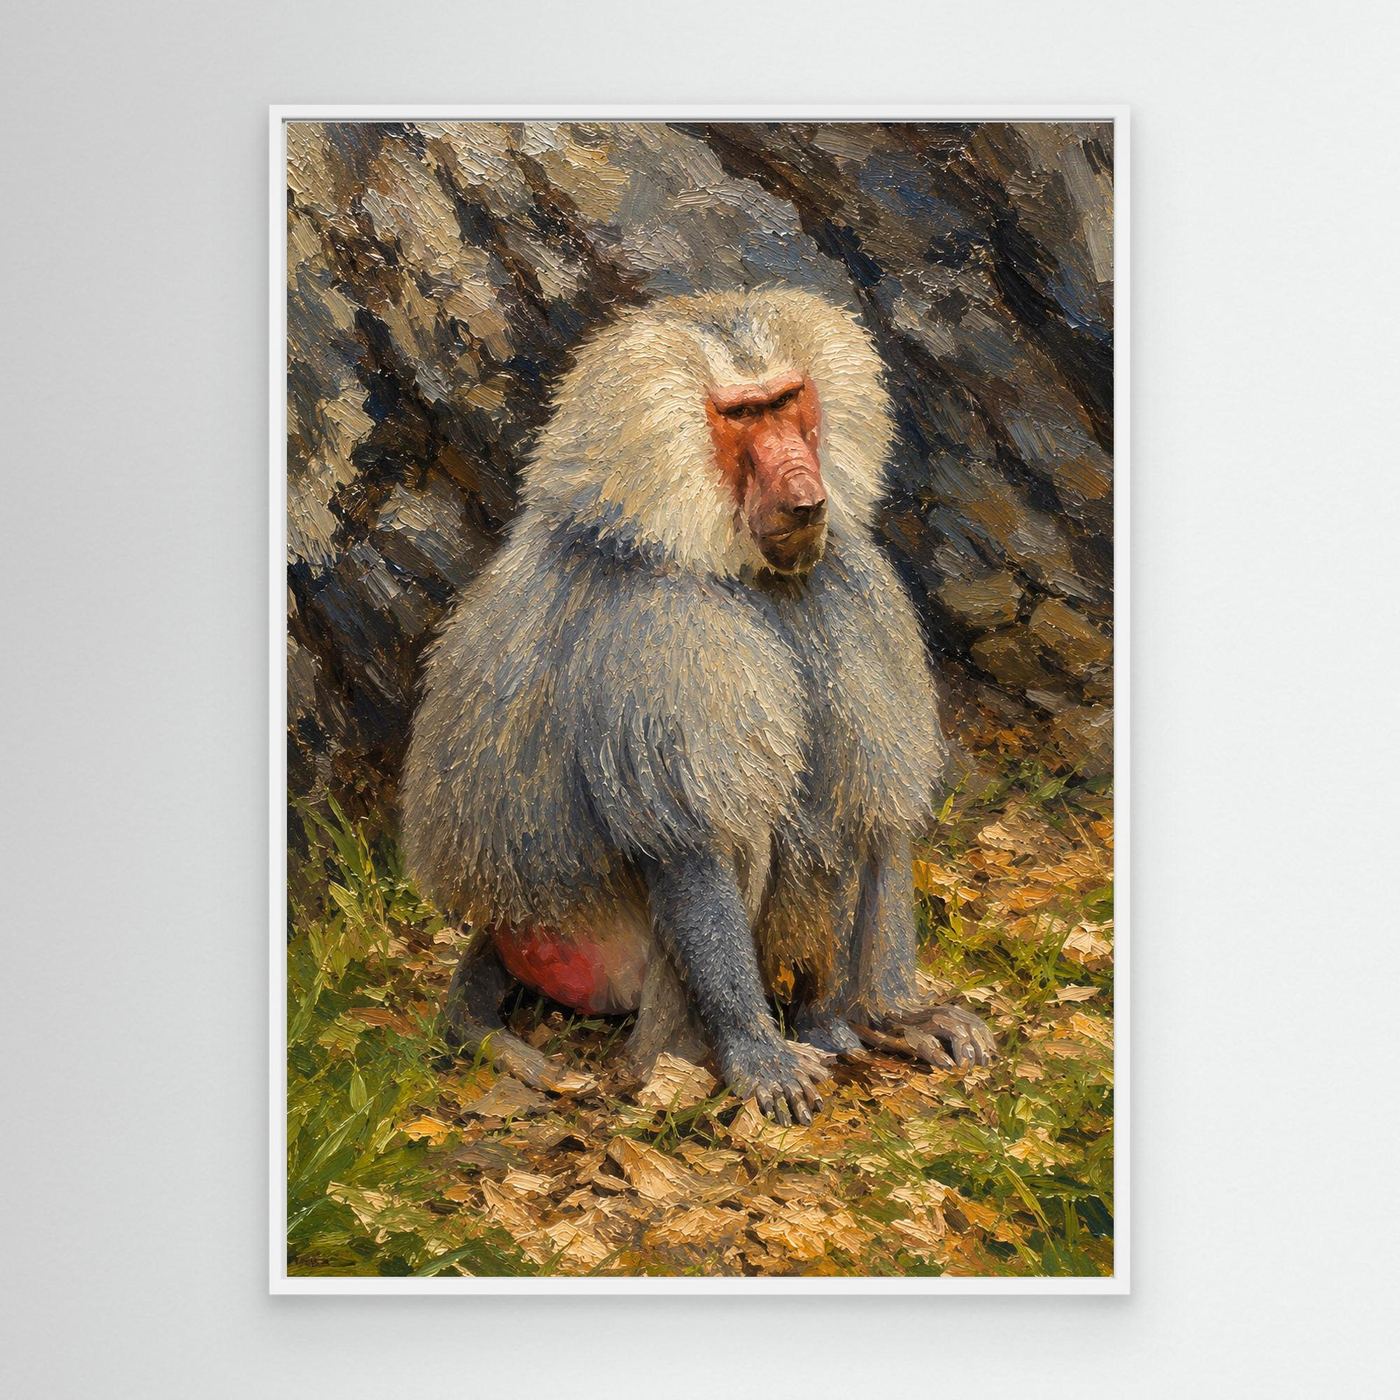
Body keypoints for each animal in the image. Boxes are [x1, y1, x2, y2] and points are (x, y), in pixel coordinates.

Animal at [401, 287, 995, 1125]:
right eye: (741, 417)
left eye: (787, 401)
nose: (805, 493)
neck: (726, 562)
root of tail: (504, 923)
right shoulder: (665, 635)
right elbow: (691, 844)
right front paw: (755, 1055)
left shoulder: (844, 585)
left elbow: (873, 804)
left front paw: (898, 1015)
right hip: (601, 954)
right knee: (742, 831)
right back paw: (676, 1068)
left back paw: (838, 1024)